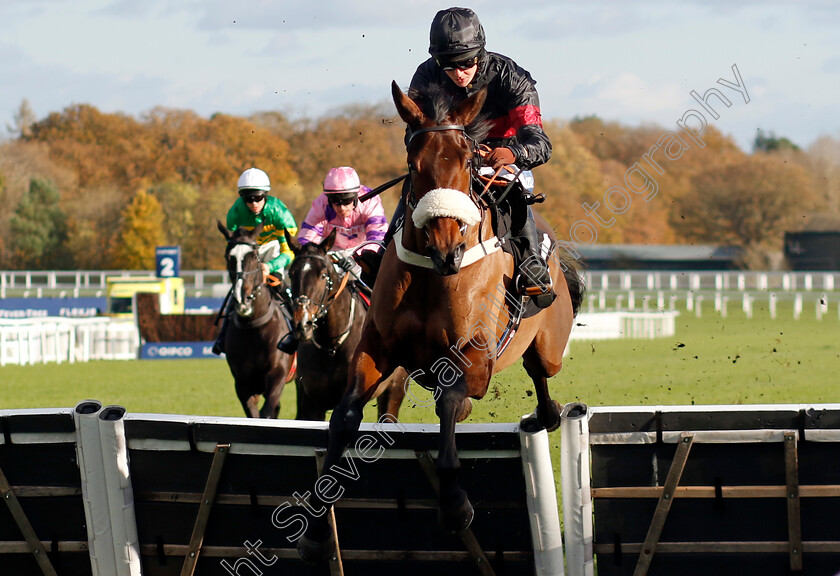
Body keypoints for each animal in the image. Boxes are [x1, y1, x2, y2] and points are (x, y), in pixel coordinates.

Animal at [282, 230, 406, 424]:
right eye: (292, 274)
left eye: (323, 275)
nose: (302, 324)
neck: (331, 344)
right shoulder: (312, 403)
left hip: (394, 389)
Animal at [296, 82, 584, 564]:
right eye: (414, 165)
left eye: (468, 160)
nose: (447, 247)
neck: (434, 275)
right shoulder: (376, 349)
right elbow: (345, 417)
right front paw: (317, 527)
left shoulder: (475, 356)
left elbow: (448, 403)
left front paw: (454, 506)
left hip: (548, 345)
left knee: (540, 376)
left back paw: (548, 412)